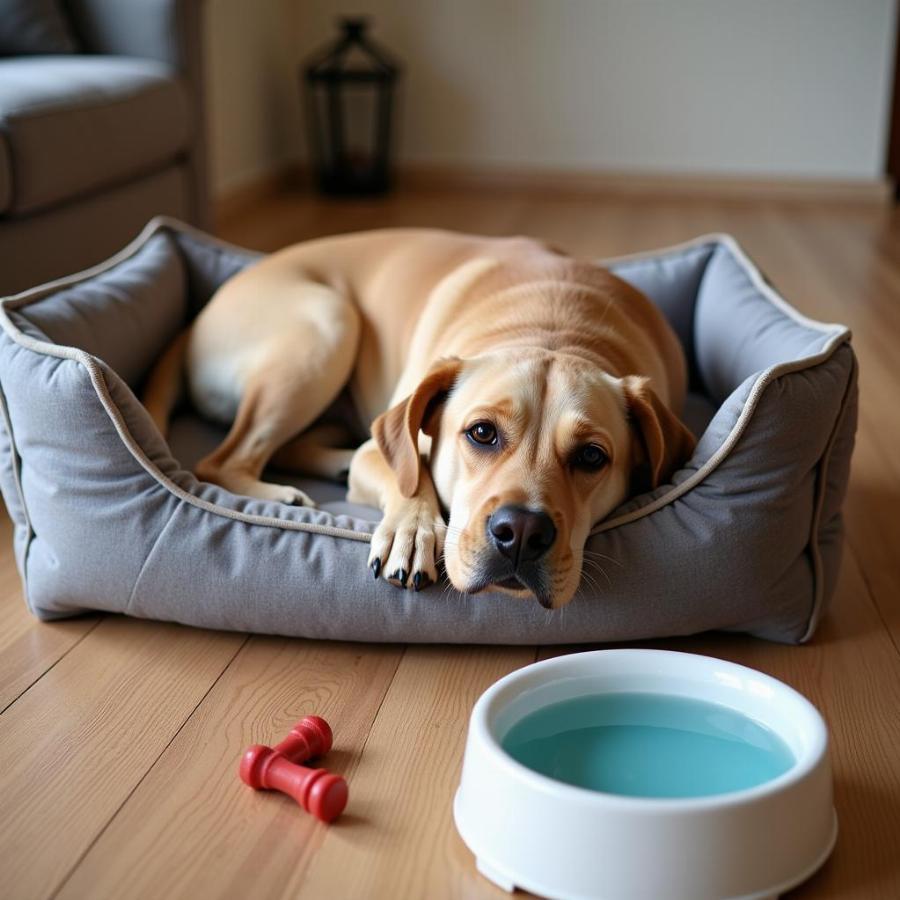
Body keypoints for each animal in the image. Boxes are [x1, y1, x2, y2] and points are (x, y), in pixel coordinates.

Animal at [146, 230, 696, 612]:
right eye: (481, 433)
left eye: (591, 456)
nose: (520, 532)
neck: (555, 326)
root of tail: (196, 320)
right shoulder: (382, 446)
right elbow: (409, 479)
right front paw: (412, 532)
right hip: (328, 322)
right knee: (224, 460)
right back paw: (282, 495)